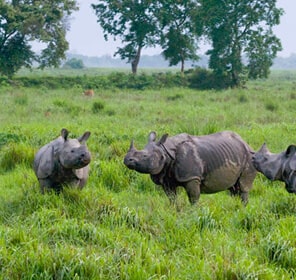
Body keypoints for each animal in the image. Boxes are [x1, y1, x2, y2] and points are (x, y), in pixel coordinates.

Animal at [123, 130, 256, 205]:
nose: (126, 159)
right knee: (233, 189)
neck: (166, 151)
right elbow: (172, 198)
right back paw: (235, 208)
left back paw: (242, 209)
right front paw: (174, 211)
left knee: (243, 187)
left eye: (145, 156)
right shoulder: (166, 180)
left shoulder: (192, 177)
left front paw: (193, 214)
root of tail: (246, 143)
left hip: (249, 157)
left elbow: (193, 198)